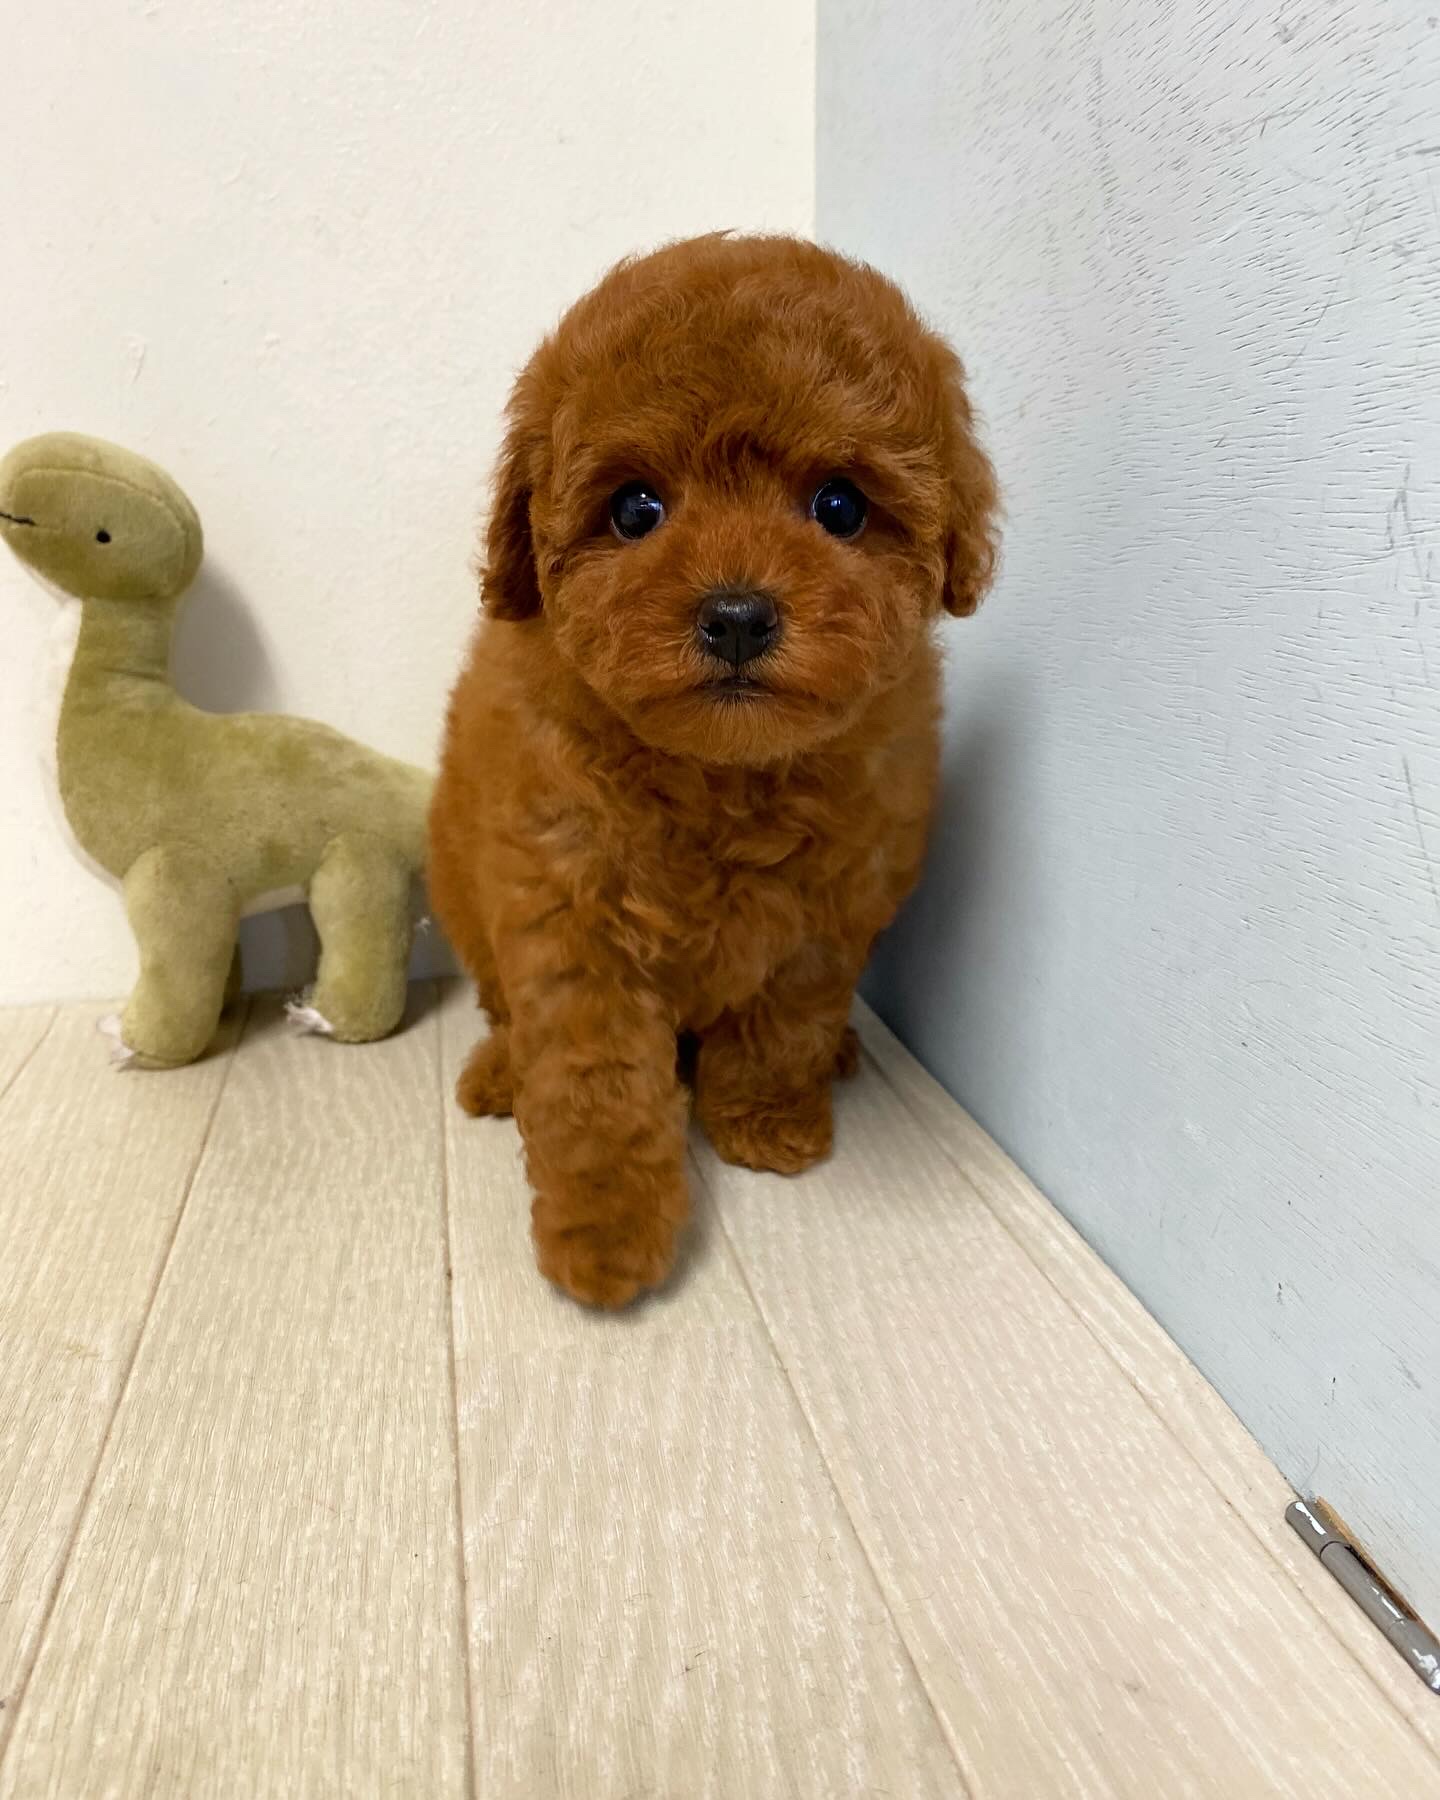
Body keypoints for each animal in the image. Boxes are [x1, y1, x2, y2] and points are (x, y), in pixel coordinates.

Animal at [429, 232, 998, 1308]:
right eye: (636, 509)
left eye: (839, 506)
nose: (736, 616)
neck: (723, 775)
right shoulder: (570, 912)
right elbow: (593, 1083)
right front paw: (607, 1238)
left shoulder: (830, 912)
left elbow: (786, 1022)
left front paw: (766, 1123)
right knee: (500, 1007)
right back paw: (498, 1074)